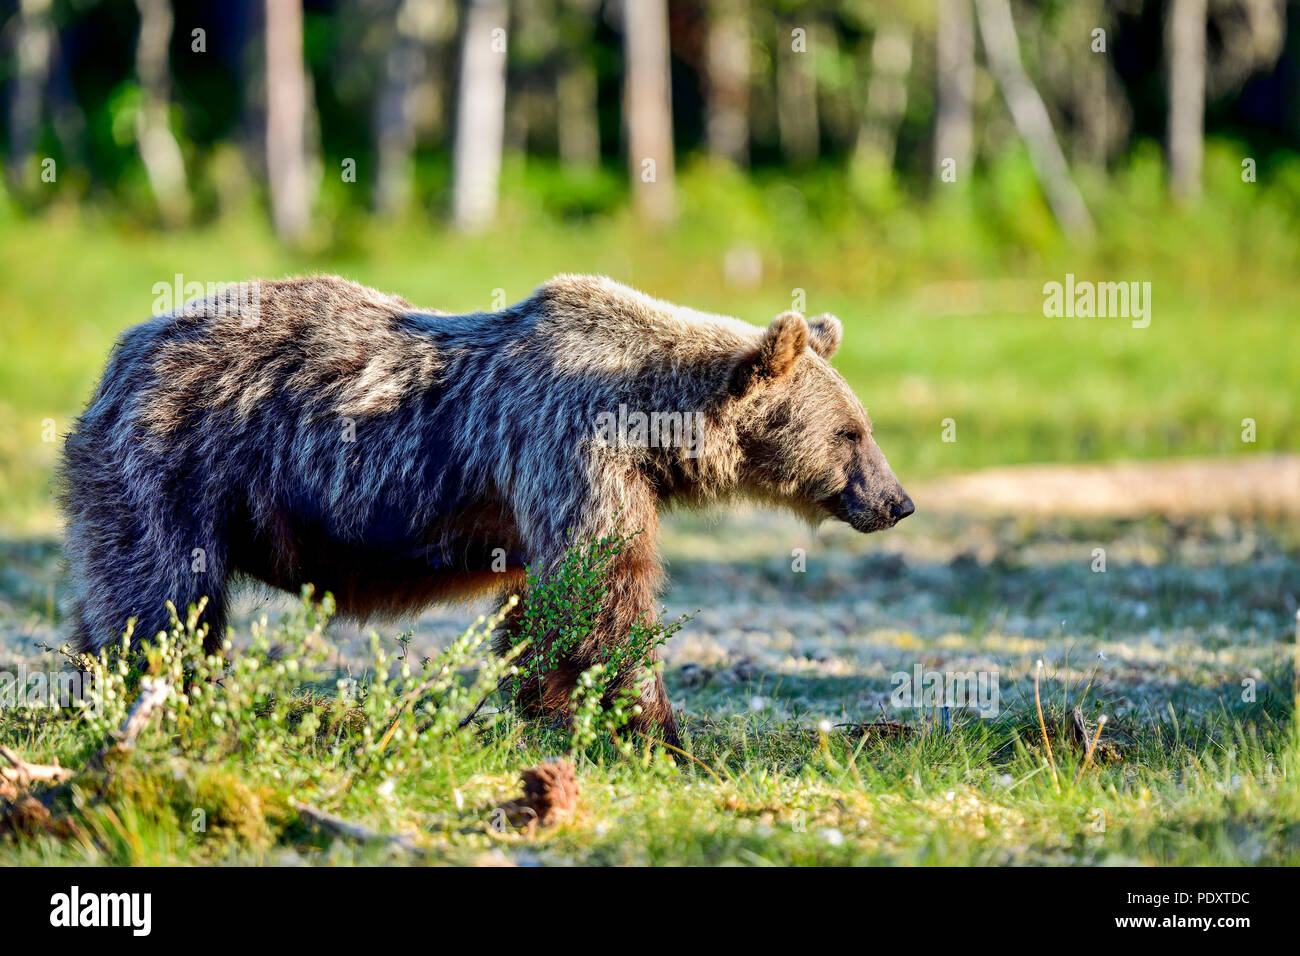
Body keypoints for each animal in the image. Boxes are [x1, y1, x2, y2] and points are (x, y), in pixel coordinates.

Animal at [61, 274, 915, 749]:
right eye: (851, 432)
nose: (897, 501)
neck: (653, 428)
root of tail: (120, 355)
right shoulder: (570, 446)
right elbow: (607, 597)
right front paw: (657, 730)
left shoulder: (559, 492)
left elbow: (547, 608)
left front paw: (553, 707)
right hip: (180, 462)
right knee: (164, 598)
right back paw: (159, 696)